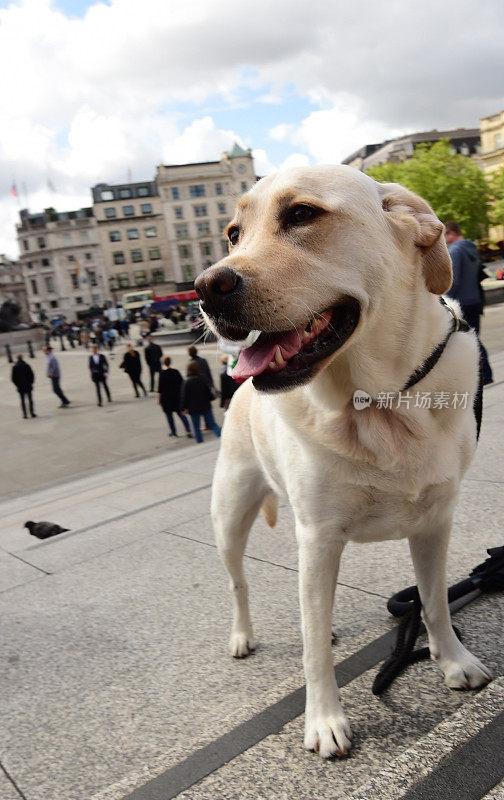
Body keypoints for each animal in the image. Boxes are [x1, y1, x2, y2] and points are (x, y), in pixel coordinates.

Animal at [194, 166, 492, 760]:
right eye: (234, 234)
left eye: (302, 214)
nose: (206, 287)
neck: (375, 403)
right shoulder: (319, 537)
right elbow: (313, 651)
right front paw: (325, 720)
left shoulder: (435, 523)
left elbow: (434, 603)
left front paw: (453, 661)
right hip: (230, 519)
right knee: (240, 585)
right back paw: (242, 636)